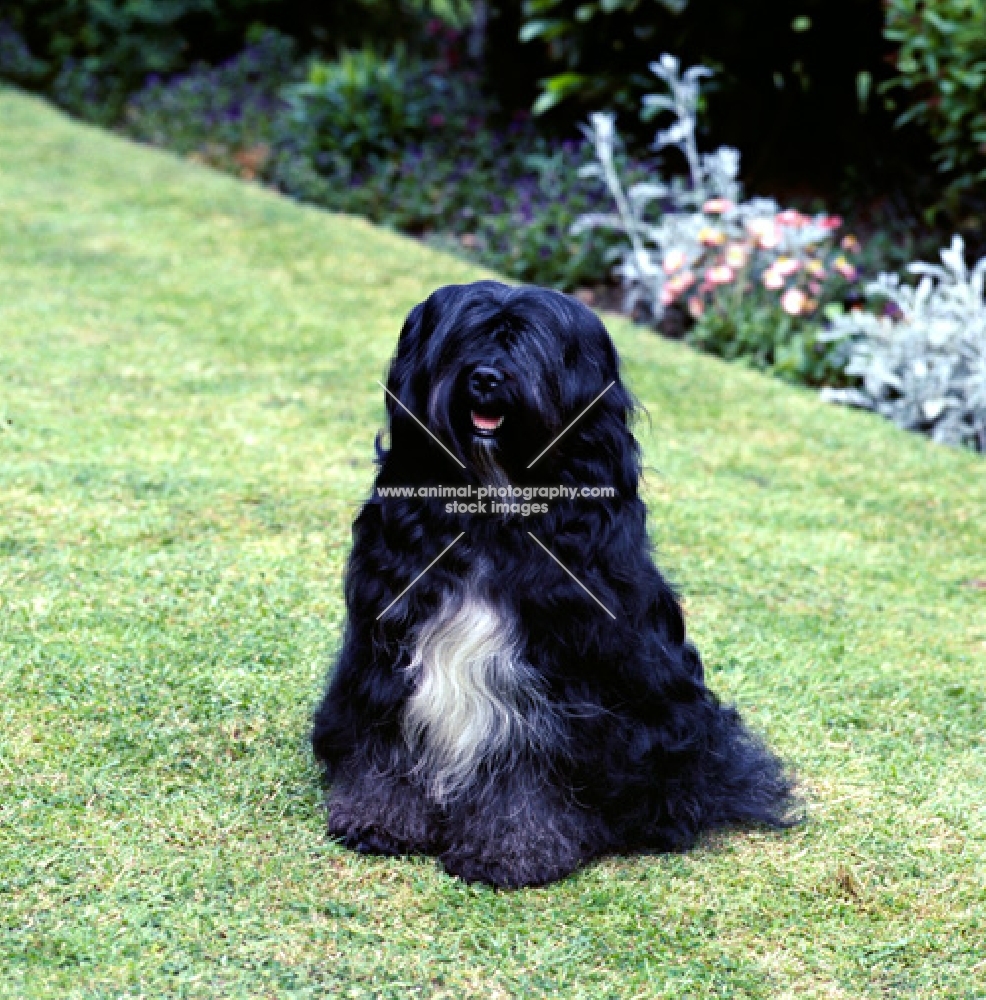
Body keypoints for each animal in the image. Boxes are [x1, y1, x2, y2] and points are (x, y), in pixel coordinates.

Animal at [314, 278, 792, 888]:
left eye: (530, 348)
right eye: (465, 338)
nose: (486, 377)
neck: (493, 509)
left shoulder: (563, 673)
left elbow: (530, 764)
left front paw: (512, 852)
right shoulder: (388, 642)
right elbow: (388, 736)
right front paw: (379, 819)